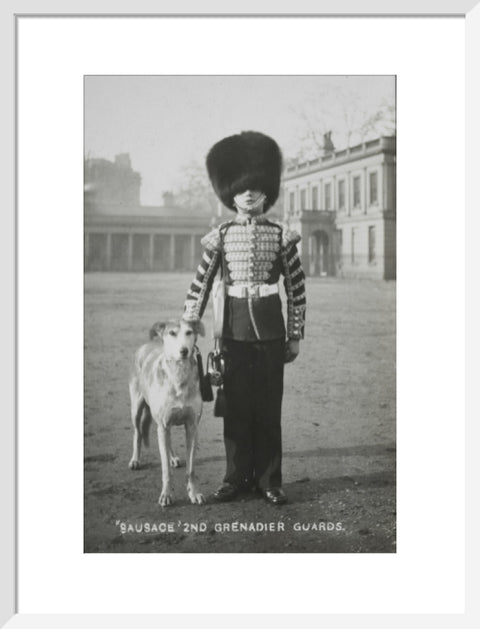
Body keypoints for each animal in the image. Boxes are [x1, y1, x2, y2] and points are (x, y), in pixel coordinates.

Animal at [128, 318, 205, 506]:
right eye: (172, 333)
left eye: (189, 332)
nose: (184, 351)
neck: (179, 375)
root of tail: (147, 344)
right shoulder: (163, 425)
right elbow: (165, 470)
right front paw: (166, 495)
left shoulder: (192, 426)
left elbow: (191, 468)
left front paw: (194, 493)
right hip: (137, 408)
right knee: (137, 433)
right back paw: (135, 460)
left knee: (167, 442)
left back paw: (173, 457)